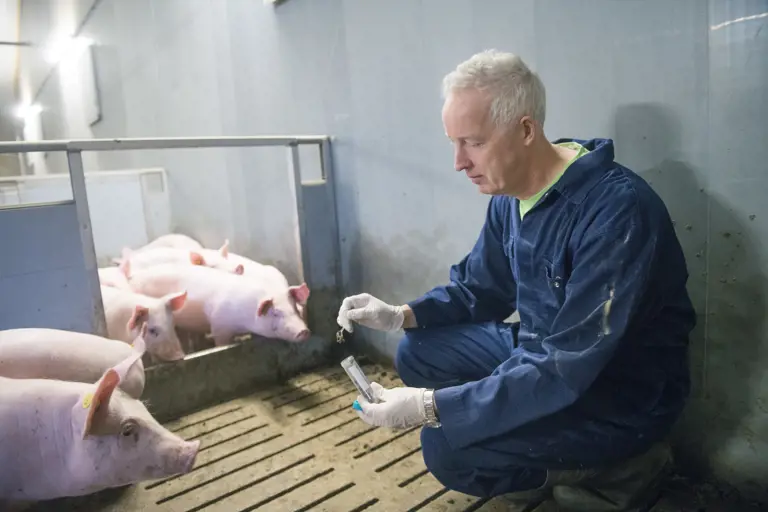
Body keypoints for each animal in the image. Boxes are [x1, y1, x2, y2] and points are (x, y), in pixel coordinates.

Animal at [121, 260, 311, 346]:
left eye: (295, 309)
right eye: (276, 313)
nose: (304, 331)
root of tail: (133, 278)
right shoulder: (219, 326)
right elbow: (222, 343)